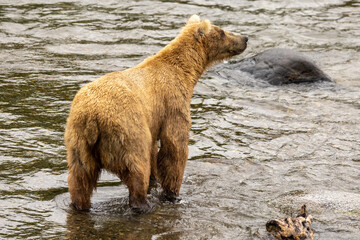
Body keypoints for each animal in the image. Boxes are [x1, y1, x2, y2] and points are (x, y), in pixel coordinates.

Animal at [64, 14, 248, 211]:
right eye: (222, 31)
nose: (244, 38)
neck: (185, 71)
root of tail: (92, 116)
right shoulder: (172, 102)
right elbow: (174, 146)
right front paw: (172, 193)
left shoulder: (153, 118)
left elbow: (154, 149)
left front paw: (156, 178)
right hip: (126, 131)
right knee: (137, 167)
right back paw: (142, 204)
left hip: (78, 140)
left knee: (80, 176)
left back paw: (80, 205)